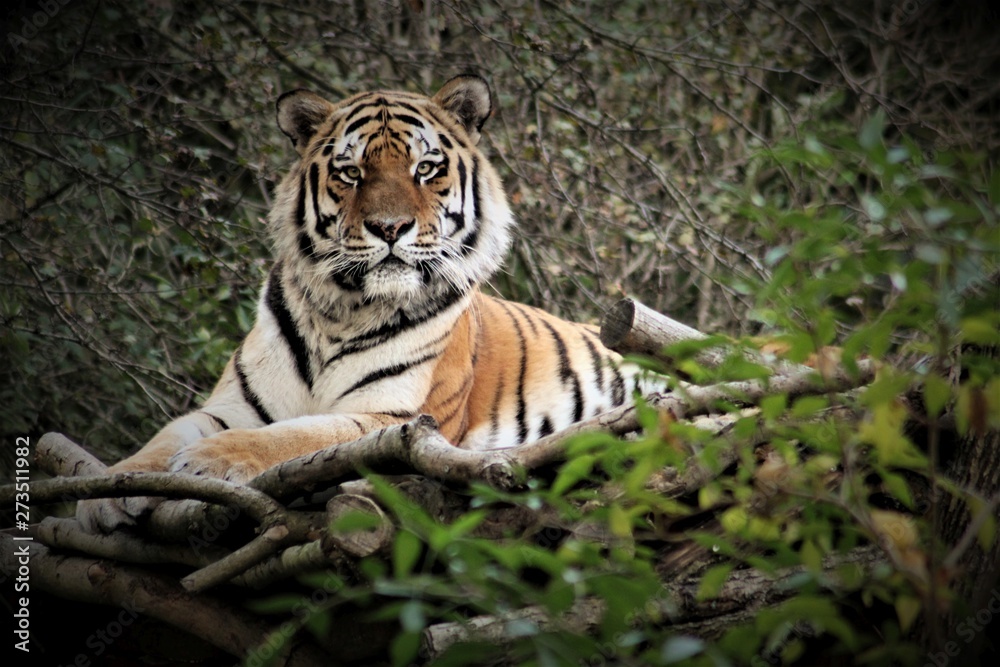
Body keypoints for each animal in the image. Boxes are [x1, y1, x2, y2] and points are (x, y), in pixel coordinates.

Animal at [77, 75, 665, 533]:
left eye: (425, 169)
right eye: (351, 172)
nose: (389, 227)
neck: (340, 310)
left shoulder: (394, 419)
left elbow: (296, 435)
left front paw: (207, 461)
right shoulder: (232, 406)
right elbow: (166, 435)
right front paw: (112, 487)